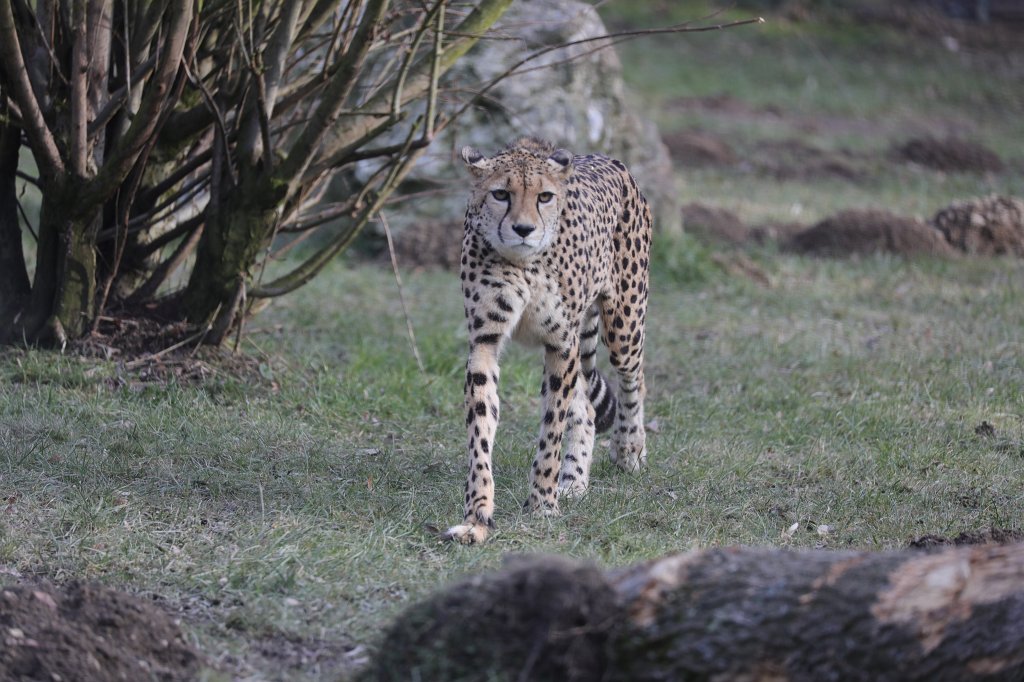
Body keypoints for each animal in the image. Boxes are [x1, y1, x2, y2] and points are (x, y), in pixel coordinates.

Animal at [442, 137, 652, 545]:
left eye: (544, 197)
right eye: (500, 194)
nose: (523, 229)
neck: (523, 263)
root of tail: (608, 158)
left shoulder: (561, 342)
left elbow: (552, 429)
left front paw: (542, 504)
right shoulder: (485, 341)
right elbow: (481, 430)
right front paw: (478, 515)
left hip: (624, 321)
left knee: (634, 378)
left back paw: (629, 448)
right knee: (586, 409)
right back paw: (574, 483)